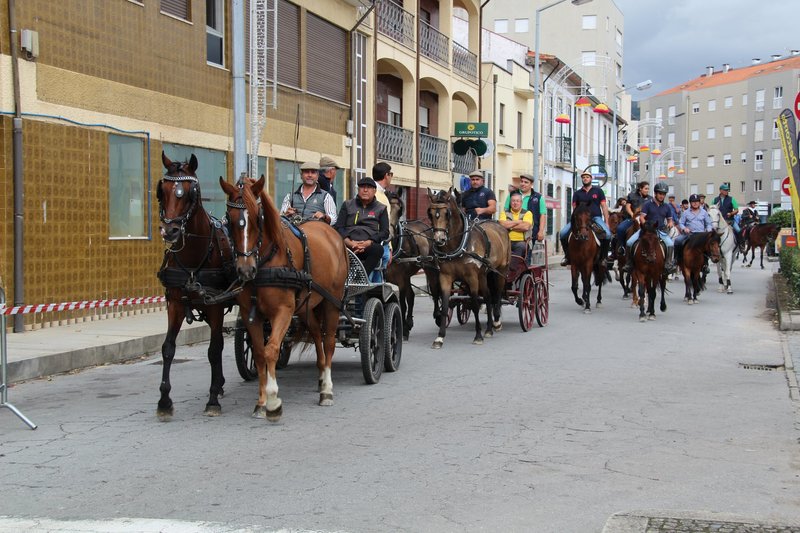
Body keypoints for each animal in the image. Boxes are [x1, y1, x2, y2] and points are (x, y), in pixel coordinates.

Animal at [154, 151, 234, 420]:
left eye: (191, 192)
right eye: (162, 190)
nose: (170, 230)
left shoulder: (216, 306)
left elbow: (214, 349)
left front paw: (212, 400)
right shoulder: (176, 304)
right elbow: (168, 348)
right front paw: (164, 401)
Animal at [219, 175, 346, 420]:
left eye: (258, 218)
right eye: (229, 219)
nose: (245, 270)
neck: (267, 260)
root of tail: (332, 233)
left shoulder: (283, 312)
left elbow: (272, 350)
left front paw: (273, 401)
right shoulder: (251, 315)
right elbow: (259, 353)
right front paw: (260, 403)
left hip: (332, 302)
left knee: (329, 341)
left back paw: (327, 389)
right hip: (306, 306)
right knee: (317, 335)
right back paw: (320, 376)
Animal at [428, 188, 510, 350]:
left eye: (447, 213)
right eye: (430, 213)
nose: (439, 239)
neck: (458, 245)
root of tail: (501, 227)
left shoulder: (472, 277)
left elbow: (474, 304)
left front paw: (478, 335)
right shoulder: (445, 277)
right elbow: (445, 304)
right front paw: (440, 337)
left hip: (501, 271)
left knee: (497, 295)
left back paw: (496, 322)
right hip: (484, 275)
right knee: (488, 296)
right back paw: (489, 329)